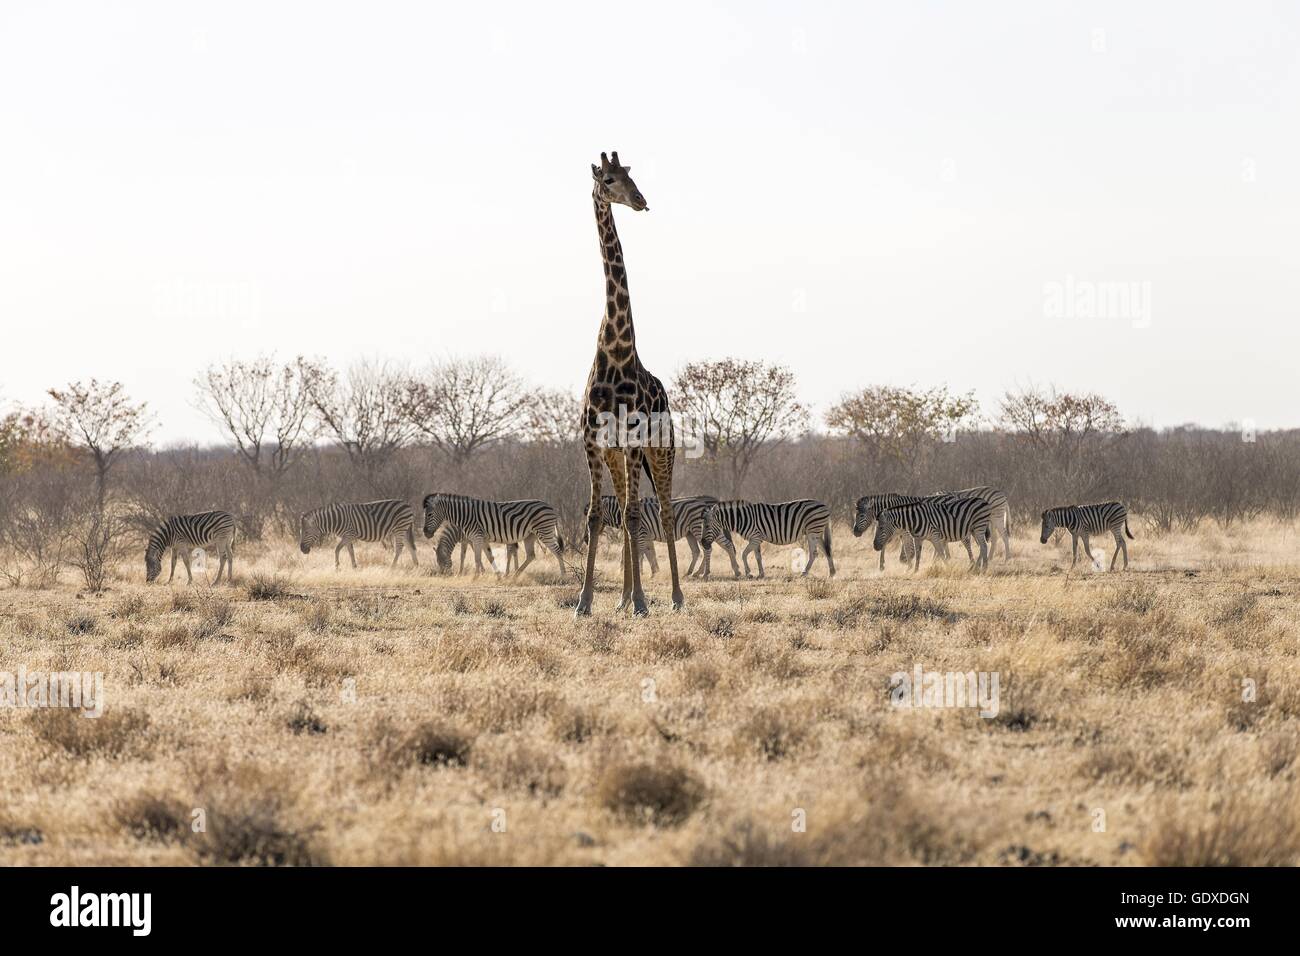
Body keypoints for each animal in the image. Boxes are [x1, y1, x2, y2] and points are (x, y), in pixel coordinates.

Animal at [416, 494, 559, 574]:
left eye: (429, 515)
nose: (426, 533)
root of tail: (551, 507)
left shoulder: (472, 538)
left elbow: (471, 556)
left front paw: (477, 572)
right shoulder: (469, 539)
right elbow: (476, 555)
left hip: (541, 531)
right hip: (528, 535)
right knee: (517, 552)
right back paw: (513, 572)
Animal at [587, 496, 722, 580]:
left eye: (595, 516)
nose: (587, 538)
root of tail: (704, 505)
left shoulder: (642, 534)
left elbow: (639, 553)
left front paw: (639, 573)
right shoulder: (646, 536)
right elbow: (649, 553)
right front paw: (653, 573)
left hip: (697, 529)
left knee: (707, 549)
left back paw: (703, 573)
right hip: (690, 533)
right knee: (696, 551)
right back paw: (690, 573)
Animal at [702, 502, 832, 582]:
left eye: (707, 526)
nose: (703, 543)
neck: (741, 519)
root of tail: (825, 506)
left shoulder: (755, 538)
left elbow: (744, 554)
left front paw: (749, 573)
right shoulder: (756, 539)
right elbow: (758, 556)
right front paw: (760, 574)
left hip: (813, 531)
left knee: (814, 553)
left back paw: (804, 573)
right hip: (816, 532)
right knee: (826, 550)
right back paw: (832, 573)